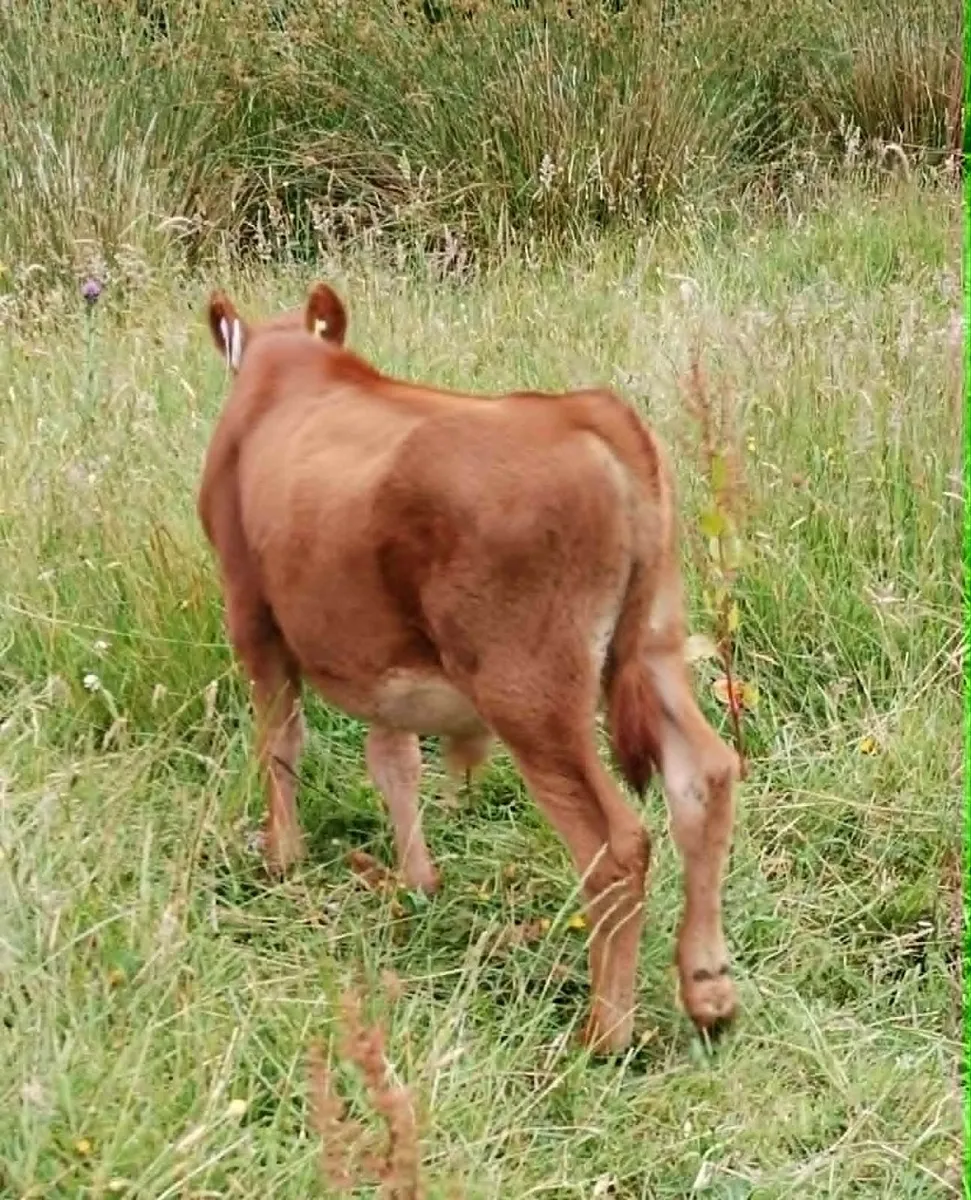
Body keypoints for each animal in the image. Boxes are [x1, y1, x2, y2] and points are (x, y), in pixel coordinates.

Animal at [198, 282, 740, 1054]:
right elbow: (392, 759)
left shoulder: (251, 612)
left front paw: (284, 858)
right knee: (705, 775)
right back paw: (708, 992)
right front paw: (416, 881)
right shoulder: (380, 655)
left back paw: (603, 1032)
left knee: (615, 845)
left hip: (529, 688)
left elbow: (280, 743)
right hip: (655, 644)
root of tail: (583, 410)